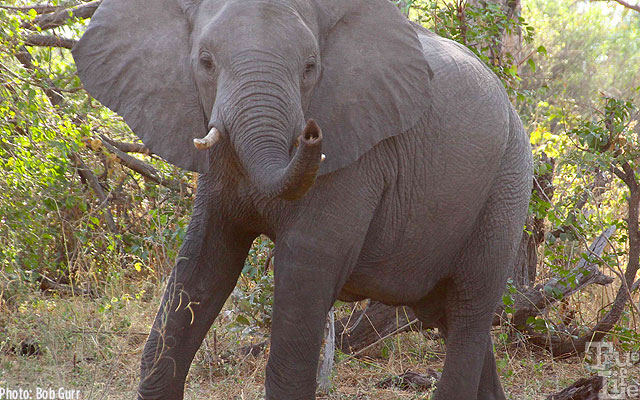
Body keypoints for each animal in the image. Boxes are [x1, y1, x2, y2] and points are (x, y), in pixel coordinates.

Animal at [72, 0, 532, 398]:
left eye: (311, 67)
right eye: (205, 62)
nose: (311, 133)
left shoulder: (358, 158)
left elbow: (304, 271)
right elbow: (202, 261)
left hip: (506, 187)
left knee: (470, 310)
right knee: (447, 316)